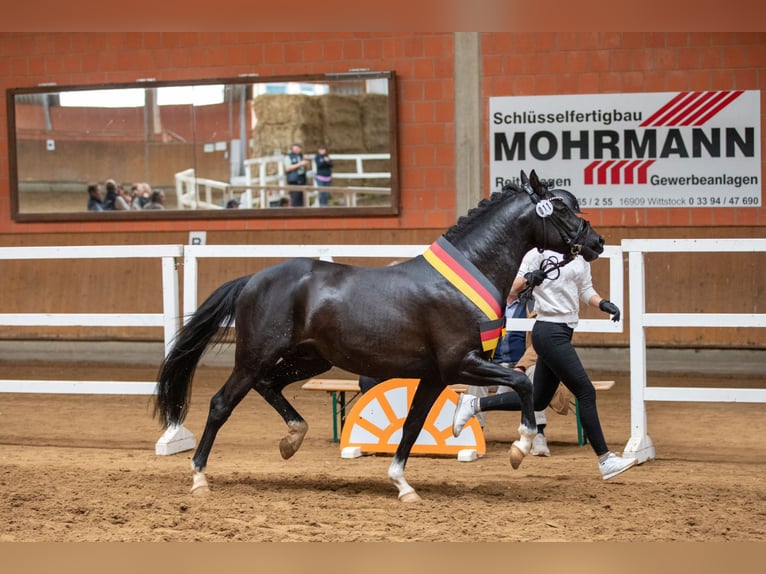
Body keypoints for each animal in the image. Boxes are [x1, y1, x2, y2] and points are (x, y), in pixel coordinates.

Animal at [156, 169, 608, 502]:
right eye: (562, 207)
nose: (596, 241)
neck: (464, 279)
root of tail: (253, 279)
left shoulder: (435, 376)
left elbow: (412, 425)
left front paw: (402, 485)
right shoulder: (461, 363)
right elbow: (520, 382)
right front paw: (520, 449)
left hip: (310, 358)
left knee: (269, 386)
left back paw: (292, 440)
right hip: (255, 355)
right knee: (221, 404)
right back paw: (199, 478)